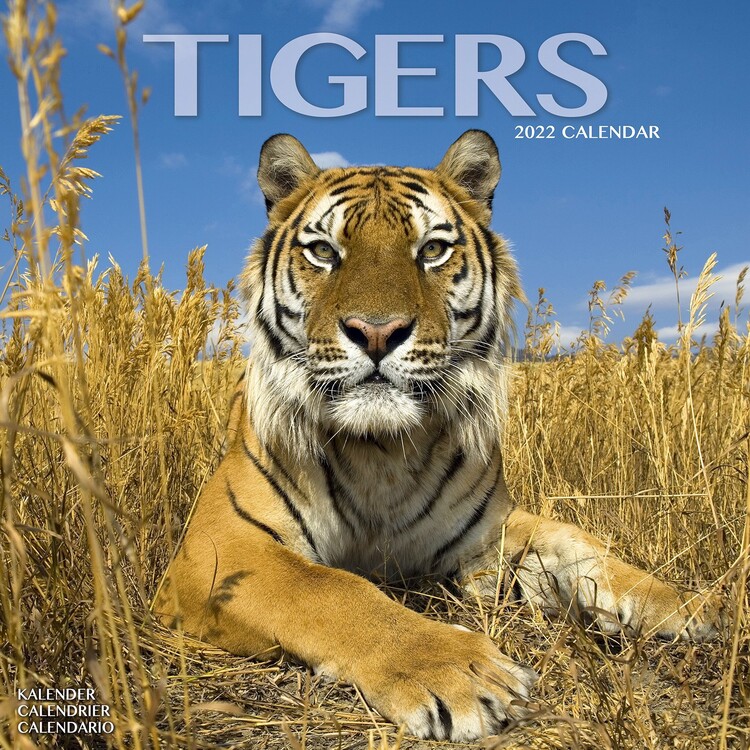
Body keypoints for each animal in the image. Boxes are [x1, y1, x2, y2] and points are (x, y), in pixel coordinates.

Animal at [154, 130, 717, 743]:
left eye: (432, 250)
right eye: (324, 251)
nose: (377, 332)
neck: (379, 451)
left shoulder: (488, 536)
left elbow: (580, 547)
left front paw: (687, 605)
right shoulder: (220, 545)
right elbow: (333, 589)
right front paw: (464, 673)